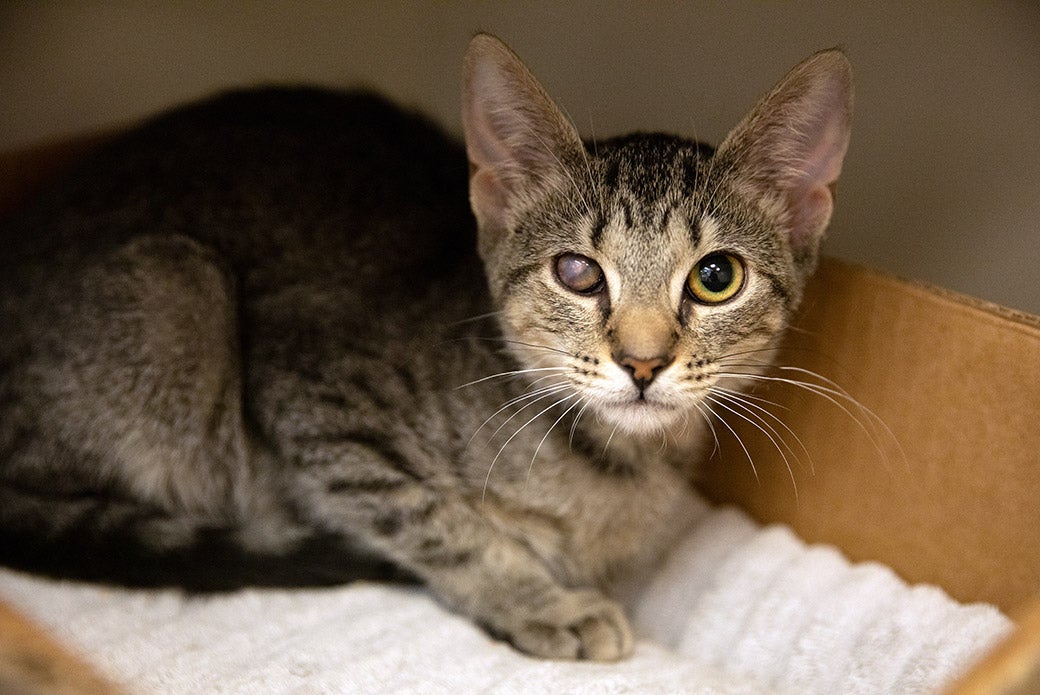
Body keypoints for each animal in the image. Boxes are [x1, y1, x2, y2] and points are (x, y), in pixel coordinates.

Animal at [0, 33, 852, 661]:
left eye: (716, 277)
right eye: (577, 272)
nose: (643, 361)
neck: (609, 469)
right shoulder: (316, 402)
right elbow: (438, 521)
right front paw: (541, 601)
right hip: (176, 293)